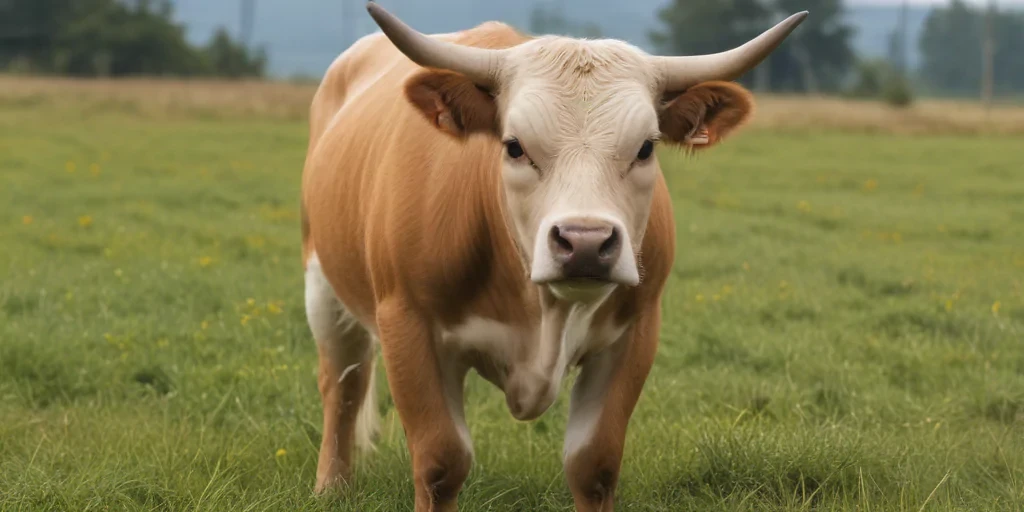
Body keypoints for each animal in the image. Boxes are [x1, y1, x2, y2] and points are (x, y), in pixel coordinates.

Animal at [300, 3, 806, 510]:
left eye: (646, 147)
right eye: (514, 146)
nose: (585, 242)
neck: (544, 310)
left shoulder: (635, 333)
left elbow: (594, 463)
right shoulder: (408, 324)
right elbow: (441, 461)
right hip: (322, 284)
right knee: (341, 384)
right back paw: (330, 485)